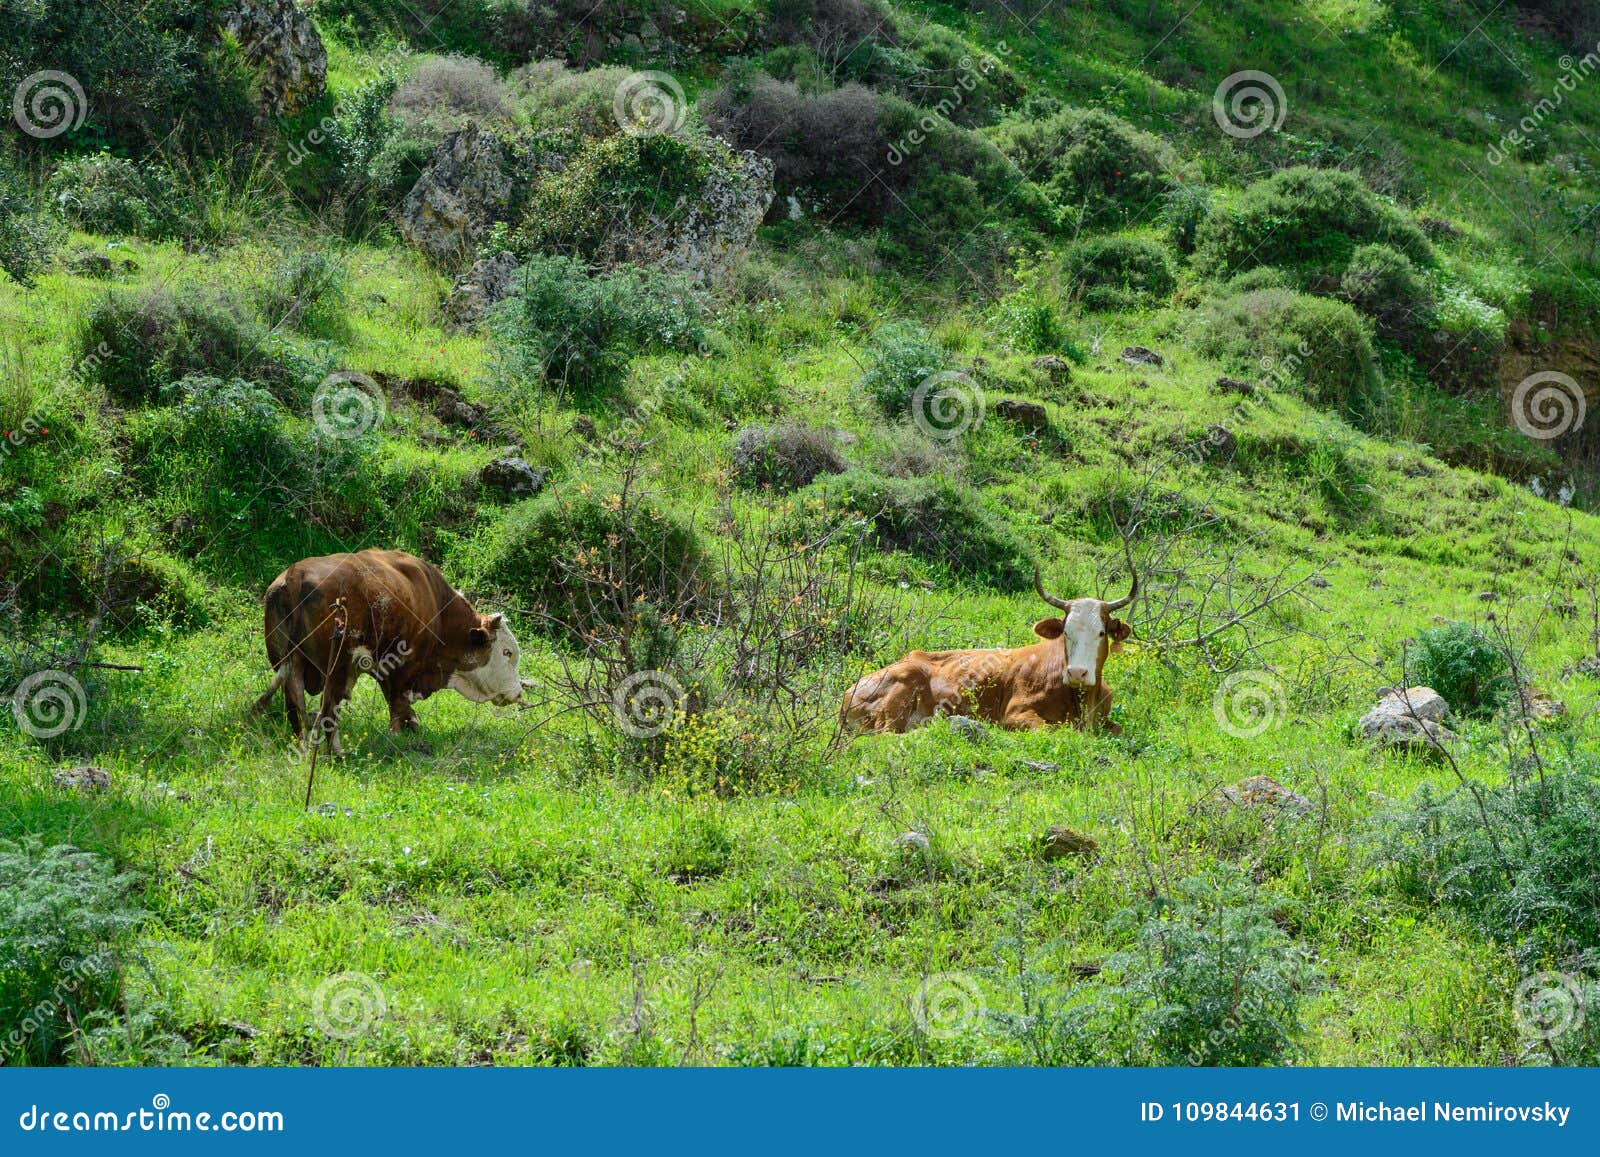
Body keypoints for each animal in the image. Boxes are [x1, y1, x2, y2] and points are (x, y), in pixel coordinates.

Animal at [251, 549, 522, 754]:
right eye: (507, 652)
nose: (518, 693)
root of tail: (295, 573)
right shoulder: (406, 665)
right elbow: (397, 702)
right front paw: (397, 735)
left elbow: (393, 698)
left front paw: (412, 724)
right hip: (336, 669)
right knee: (328, 711)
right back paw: (337, 753)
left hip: (290, 665)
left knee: (295, 708)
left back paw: (305, 749)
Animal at [840, 556, 1137, 735]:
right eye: (1065, 632)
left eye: (1101, 632)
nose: (1077, 673)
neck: (1081, 699)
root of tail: (848, 692)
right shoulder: (1015, 715)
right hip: (901, 691)